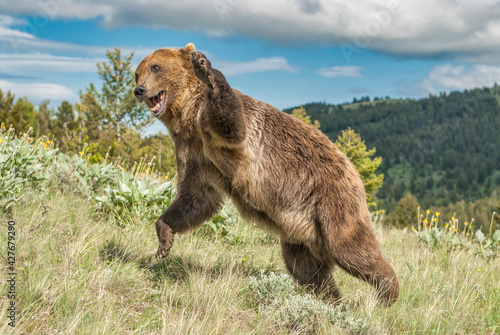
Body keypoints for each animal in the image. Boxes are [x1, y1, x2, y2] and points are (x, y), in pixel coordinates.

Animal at [133, 44, 398, 308]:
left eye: (156, 67)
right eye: (137, 73)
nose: (139, 89)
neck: (188, 116)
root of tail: (353, 170)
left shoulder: (226, 130)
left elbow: (232, 125)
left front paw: (205, 69)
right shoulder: (195, 152)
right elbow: (195, 198)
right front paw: (164, 241)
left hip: (332, 200)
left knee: (349, 248)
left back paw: (387, 293)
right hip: (303, 230)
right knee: (306, 268)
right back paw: (329, 299)